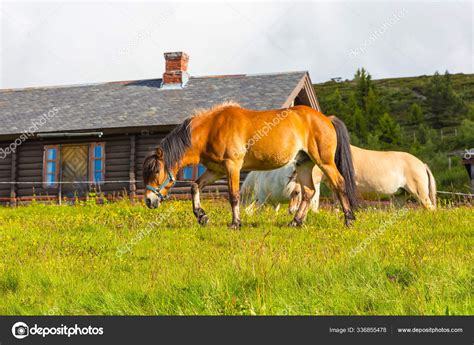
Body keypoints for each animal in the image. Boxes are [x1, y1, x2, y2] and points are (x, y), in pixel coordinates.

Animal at [143, 102, 358, 228]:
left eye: (156, 171)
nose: (148, 201)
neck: (212, 129)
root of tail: (326, 118)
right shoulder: (216, 170)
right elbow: (195, 186)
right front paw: (201, 216)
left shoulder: (232, 166)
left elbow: (233, 196)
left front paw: (235, 223)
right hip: (304, 164)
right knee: (308, 192)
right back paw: (295, 222)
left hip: (324, 161)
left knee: (339, 183)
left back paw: (349, 220)